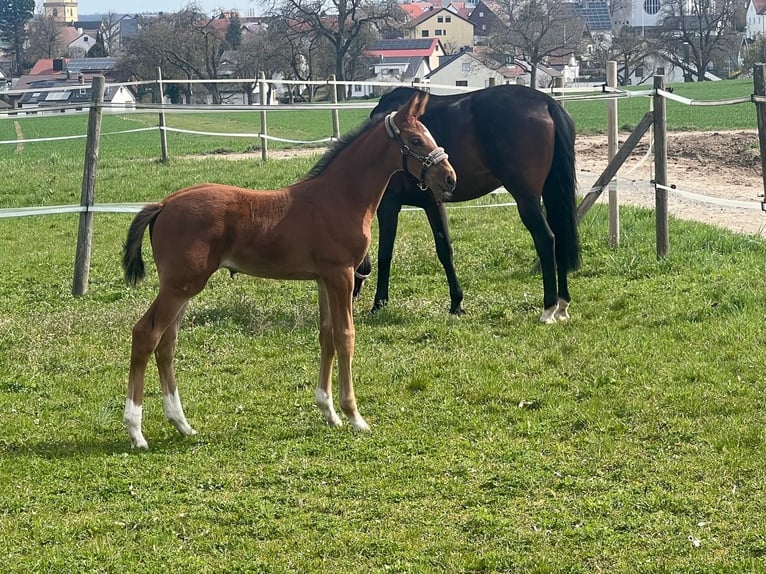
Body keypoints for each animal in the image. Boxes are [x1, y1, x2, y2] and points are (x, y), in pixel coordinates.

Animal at [120, 93, 456, 450]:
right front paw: (354, 416)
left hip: (183, 288)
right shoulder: (341, 274)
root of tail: (164, 205)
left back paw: (182, 424)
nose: (450, 178)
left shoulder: (324, 279)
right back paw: (136, 431)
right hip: (179, 286)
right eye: (416, 140)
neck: (341, 196)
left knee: (166, 343)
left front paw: (329, 413)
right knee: (145, 335)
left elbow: (326, 335)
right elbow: (345, 336)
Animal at [352, 85, 581, 324]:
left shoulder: (388, 205)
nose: (353, 295)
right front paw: (456, 304)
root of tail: (547, 103)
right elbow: (445, 251)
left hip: (527, 199)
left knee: (546, 239)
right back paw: (562, 304)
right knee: (560, 237)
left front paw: (378, 304)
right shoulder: (433, 203)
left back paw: (549, 308)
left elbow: (385, 253)